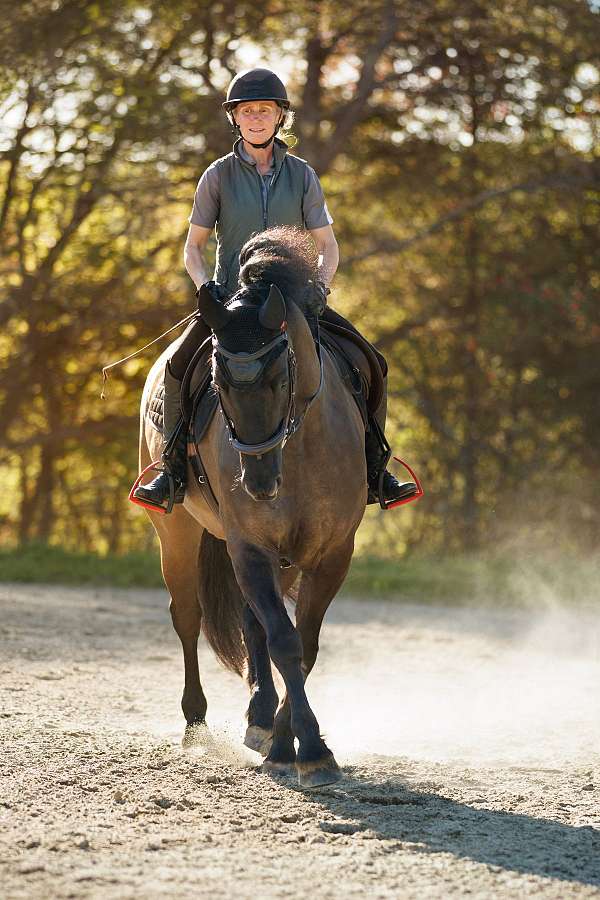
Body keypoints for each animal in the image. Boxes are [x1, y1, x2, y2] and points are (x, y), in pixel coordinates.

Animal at [138, 226, 368, 787]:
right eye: (216, 381)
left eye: (281, 377)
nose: (259, 484)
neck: (298, 449)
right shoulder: (250, 548)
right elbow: (286, 641)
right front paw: (308, 748)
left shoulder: (332, 554)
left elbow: (302, 645)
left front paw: (285, 742)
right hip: (178, 532)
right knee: (188, 615)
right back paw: (195, 723)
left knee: (252, 624)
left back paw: (261, 718)